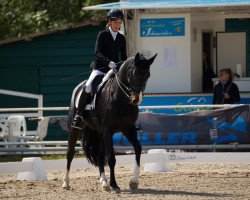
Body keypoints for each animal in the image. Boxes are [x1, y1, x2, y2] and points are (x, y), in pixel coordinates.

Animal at [62, 52, 156, 193]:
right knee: (70, 153)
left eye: (148, 75)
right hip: (76, 129)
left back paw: (104, 182)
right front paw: (115, 185)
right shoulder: (109, 130)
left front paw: (134, 181)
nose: (136, 99)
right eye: (134, 73)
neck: (121, 98)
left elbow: (138, 148)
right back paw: (66, 182)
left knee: (100, 156)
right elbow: (111, 158)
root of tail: (79, 87)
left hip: (100, 133)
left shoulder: (128, 129)